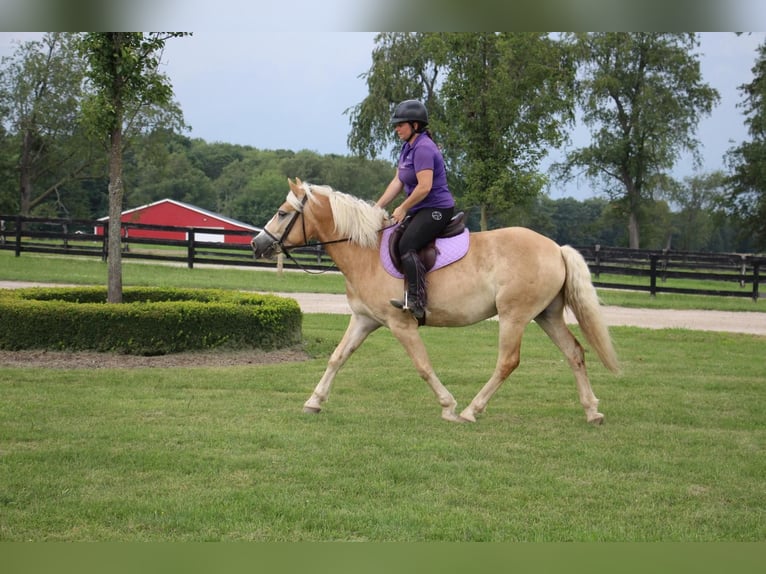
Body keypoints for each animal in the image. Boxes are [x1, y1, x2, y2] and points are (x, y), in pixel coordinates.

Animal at [249, 178, 620, 426]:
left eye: (282, 213)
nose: (256, 244)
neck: (365, 252)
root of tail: (555, 248)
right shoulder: (364, 320)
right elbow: (337, 358)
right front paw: (314, 401)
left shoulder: (401, 324)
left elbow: (423, 366)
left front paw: (448, 405)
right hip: (547, 315)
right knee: (574, 353)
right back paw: (592, 411)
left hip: (514, 316)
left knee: (507, 362)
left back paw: (471, 411)